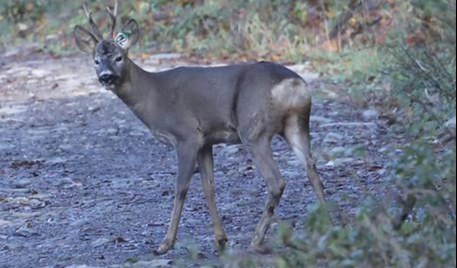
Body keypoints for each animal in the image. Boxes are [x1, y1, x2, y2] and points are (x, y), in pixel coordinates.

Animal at [73, 0, 324, 255]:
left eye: (119, 57)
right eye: (96, 60)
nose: (106, 77)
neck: (152, 96)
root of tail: (294, 84)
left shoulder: (186, 135)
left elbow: (181, 187)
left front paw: (166, 243)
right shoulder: (206, 140)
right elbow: (208, 187)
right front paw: (220, 240)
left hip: (253, 129)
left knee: (276, 181)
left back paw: (256, 240)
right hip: (296, 124)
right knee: (313, 170)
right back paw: (328, 224)